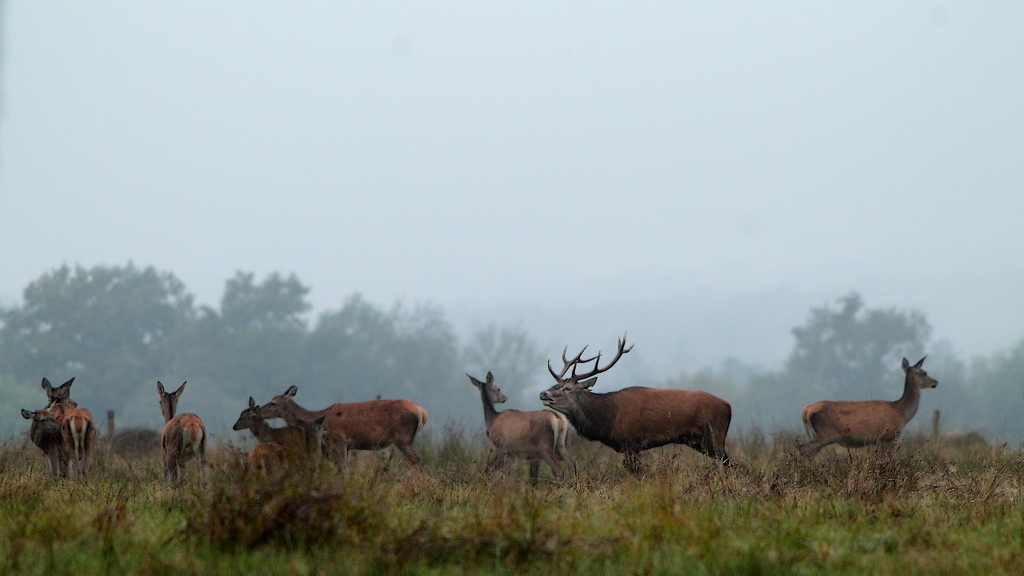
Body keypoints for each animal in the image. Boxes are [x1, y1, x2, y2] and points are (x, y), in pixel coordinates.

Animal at [257, 386, 428, 467]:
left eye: (273, 403)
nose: (258, 411)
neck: (319, 419)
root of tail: (421, 412)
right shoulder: (344, 446)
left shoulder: (338, 440)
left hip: (402, 438)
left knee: (418, 460)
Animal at [539, 332, 733, 475]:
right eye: (556, 385)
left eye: (567, 388)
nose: (543, 393)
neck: (607, 418)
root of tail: (728, 406)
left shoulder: (631, 443)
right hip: (698, 442)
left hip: (714, 436)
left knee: (728, 463)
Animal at [798, 356, 938, 459]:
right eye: (924, 372)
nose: (935, 382)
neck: (901, 413)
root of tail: (806, 410)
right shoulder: (887, 436)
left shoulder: (880, 440)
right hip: (826, 433)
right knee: (804, 447)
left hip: (813, 433)